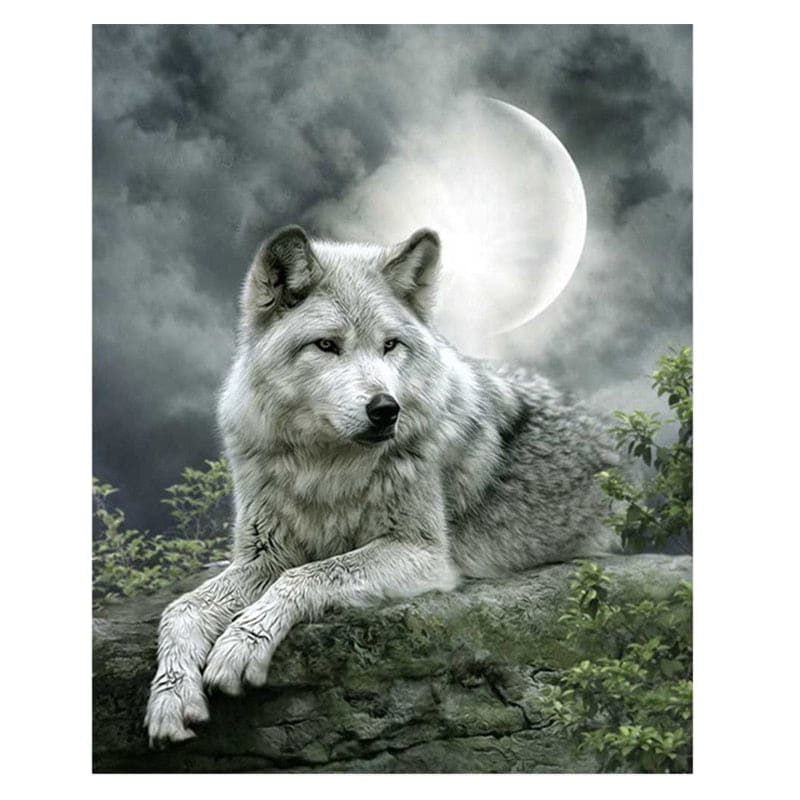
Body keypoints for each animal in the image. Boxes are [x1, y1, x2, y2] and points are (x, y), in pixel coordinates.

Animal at [145, 225, 620, 746]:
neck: (325, 468)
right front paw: (170, 698)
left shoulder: (422, 553)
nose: (386, 409)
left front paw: (240, 643)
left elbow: (309, 575)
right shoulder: (264, 555)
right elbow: (181, 609)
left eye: (390, 345)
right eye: (326, 345)